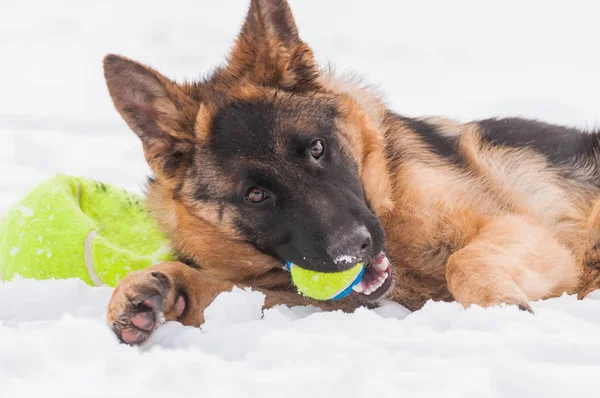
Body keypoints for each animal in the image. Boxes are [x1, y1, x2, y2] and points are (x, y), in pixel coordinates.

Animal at [102, 0, 600, 346]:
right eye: (256, 195)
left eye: (317, 149)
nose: (351, 248)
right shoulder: (322, 300)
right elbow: (228, 291)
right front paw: (154, 288)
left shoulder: (524, 233)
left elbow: (465, 260)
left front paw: (497, 308)